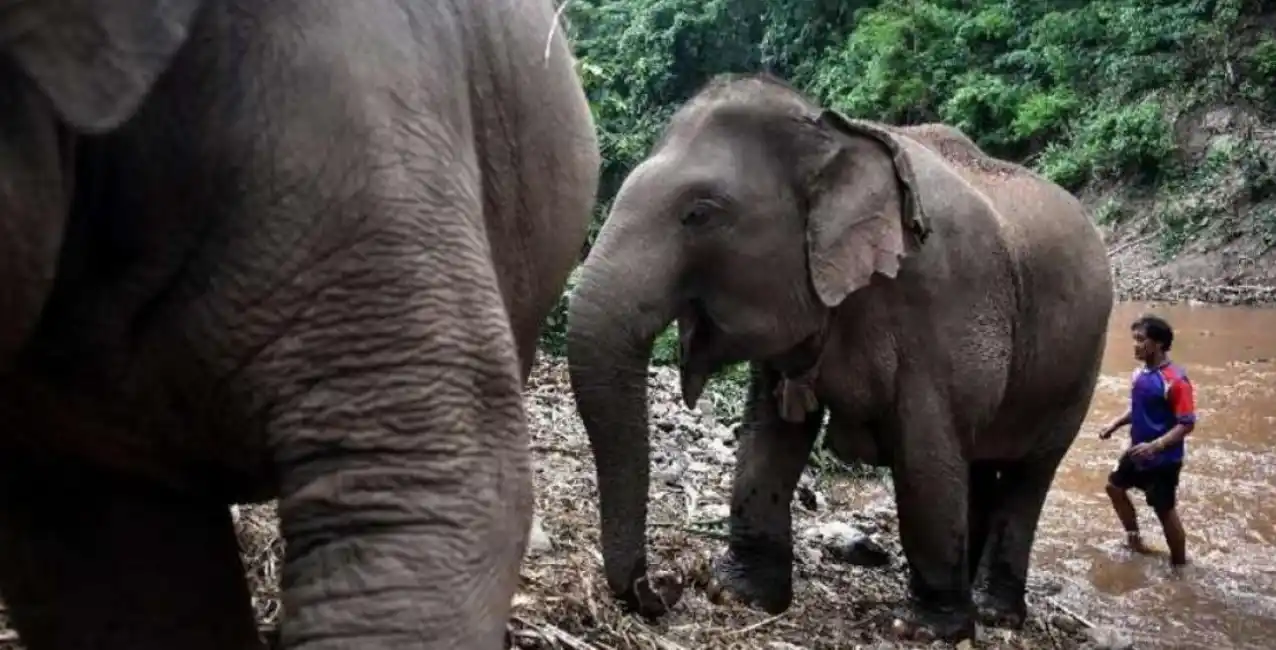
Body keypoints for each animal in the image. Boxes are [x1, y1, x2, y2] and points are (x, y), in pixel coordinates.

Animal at [566, 73, 1113, 642]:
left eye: (700, 214)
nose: (664, 589)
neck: (835, 134)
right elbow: (768, 435)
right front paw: (739, 593)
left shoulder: (943, 306)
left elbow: (925, 452)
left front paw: (924, 630)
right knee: (982, 466)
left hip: (1080, 368)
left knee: (1031, 473)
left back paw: (993, 611)